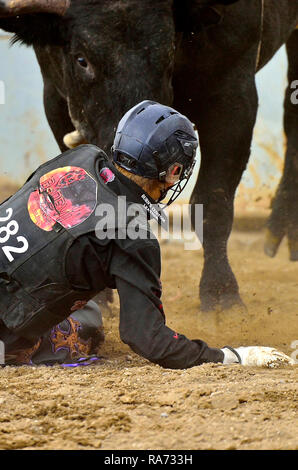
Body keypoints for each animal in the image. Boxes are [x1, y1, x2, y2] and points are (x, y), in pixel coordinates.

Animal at [0, 1, 298, 312]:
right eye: (82, 60)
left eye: (168, 54)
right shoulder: (55, 96)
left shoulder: (234, 90)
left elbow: (213, 202)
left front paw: (221, 295)